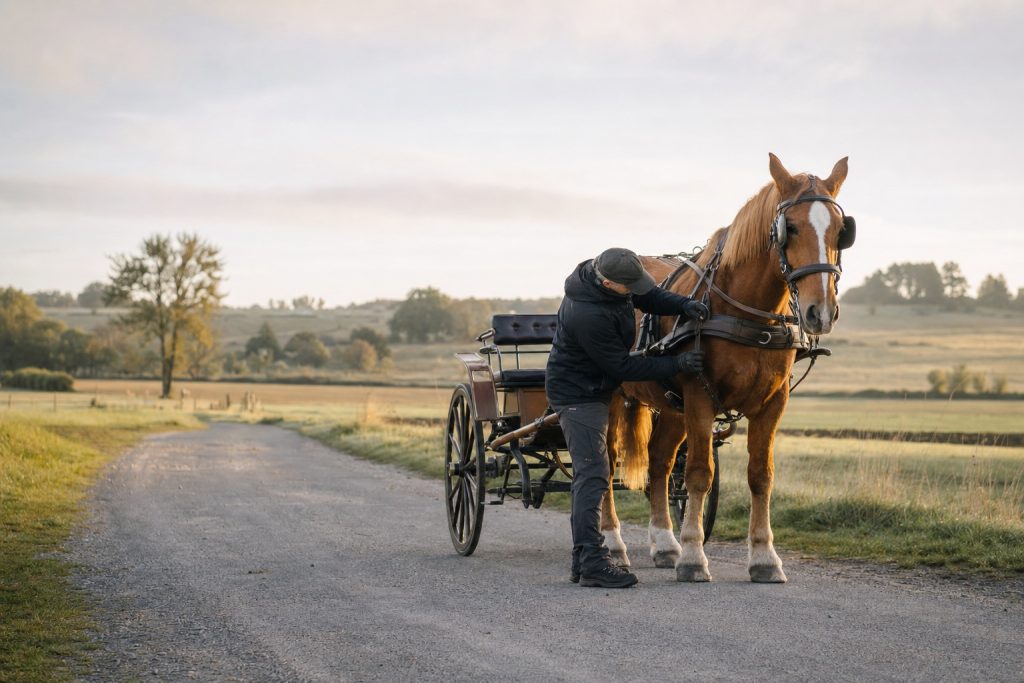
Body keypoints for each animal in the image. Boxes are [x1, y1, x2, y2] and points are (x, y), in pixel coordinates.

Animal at [599, 153, 854, 583]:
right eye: (790, 228)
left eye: (841, 231)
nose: (820, 312)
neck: (747, 311)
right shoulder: (700, 396)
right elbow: (700, 474)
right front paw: (693, 556)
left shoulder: (773, 402)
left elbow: (761, 475)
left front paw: (764, 557)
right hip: (613, 398)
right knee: (604, 461)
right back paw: (613, 541)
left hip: (673, 407)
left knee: (660, 463)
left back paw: (664, 543)